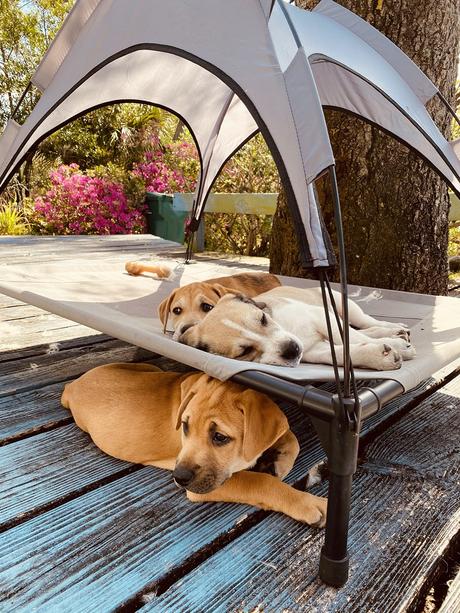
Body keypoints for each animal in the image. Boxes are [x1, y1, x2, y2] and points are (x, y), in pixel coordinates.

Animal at [61, 364, 328, 524]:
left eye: (220, 437)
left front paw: (279, 461)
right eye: (185, 426)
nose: (179, 477)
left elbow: (290, 436)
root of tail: (71, 385)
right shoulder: (208, 485)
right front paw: (307, 502)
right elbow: (261, 482)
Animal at [179, 286, 414, 370]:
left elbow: (350, 339)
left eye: (263, 319)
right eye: (244, 352)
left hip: (346, 307)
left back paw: (395, 328)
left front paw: (398, 347)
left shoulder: (321, 317)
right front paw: (380, 355)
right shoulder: (314, 350)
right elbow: (342, 352)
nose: (292, 350)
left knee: (366, 324)